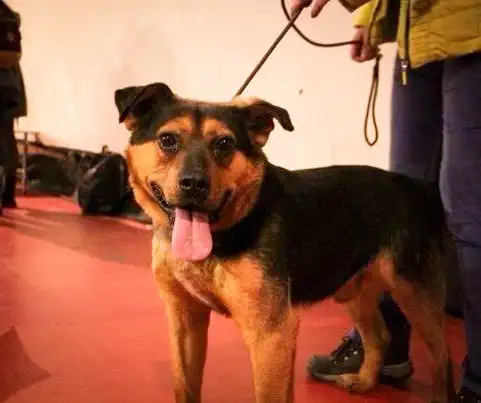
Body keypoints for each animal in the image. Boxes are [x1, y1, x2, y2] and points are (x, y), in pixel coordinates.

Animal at [114, 82, 456, 403]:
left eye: (224, 144)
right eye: (167, 140)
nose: (195, 184)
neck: (227, 231)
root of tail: (416, 186)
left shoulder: (271, 334)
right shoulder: (185, 320)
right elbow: (185, 387)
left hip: (415, 296)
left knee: (443, 356)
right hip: (353, 289)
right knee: (380, 336)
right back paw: (363, 381)